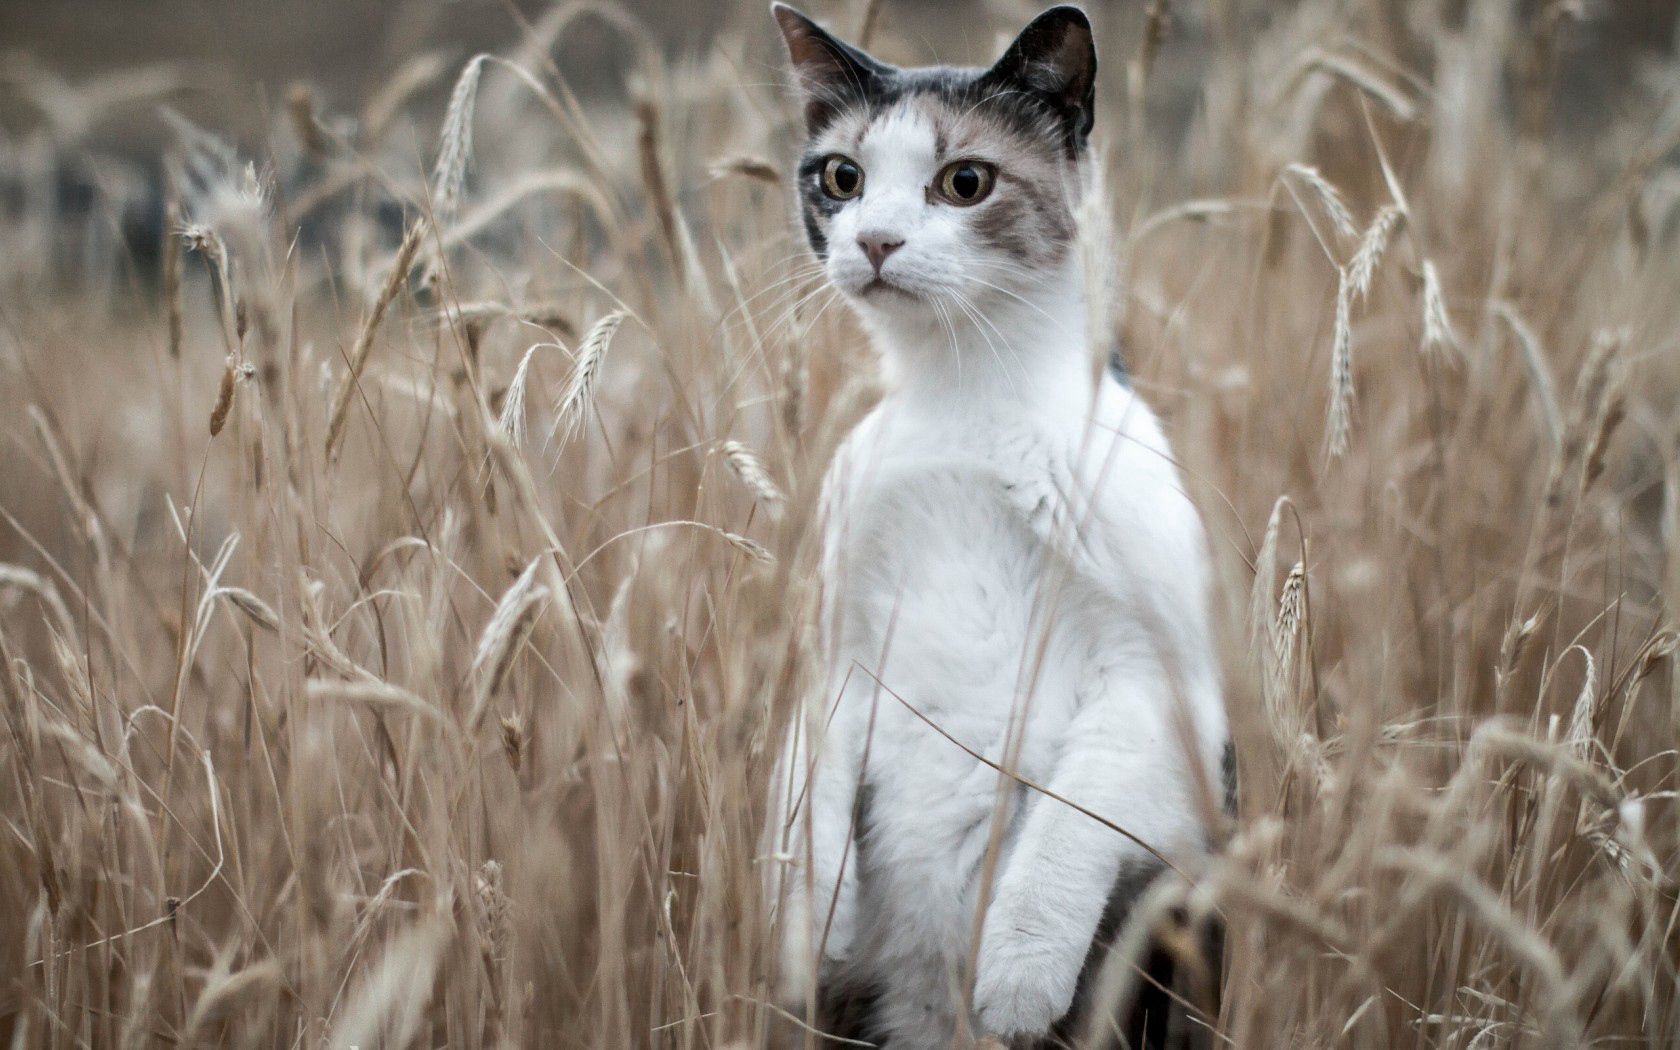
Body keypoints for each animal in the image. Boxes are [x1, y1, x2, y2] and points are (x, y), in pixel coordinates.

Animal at [769, 4, 1229, 1041]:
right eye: (842, 177)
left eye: (965, 182)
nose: (877, 241)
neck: (963, 393)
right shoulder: (838, 649)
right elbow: (806, 795)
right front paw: (810, 931)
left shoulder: (1161, 690)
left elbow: (1066, 828)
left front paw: (1019, 977)